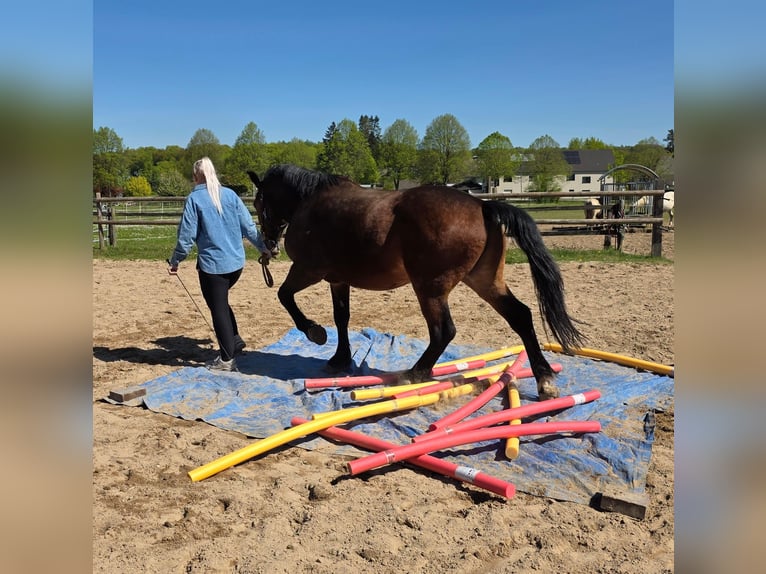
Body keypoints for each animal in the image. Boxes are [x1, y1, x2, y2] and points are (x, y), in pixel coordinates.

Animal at [247, 165, 585, 400]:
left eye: (260, 203)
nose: (269, 244)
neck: (311, 202)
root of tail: (482, 206)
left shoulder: (308, 270)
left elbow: (285, 295)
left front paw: (314, 333)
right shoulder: (338, 280)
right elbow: (342, 317)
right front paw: (340, 359)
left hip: (430, 288)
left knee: (443, 331)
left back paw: (415, 373)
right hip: (485, 281)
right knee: (521, 317)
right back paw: (544, 380)